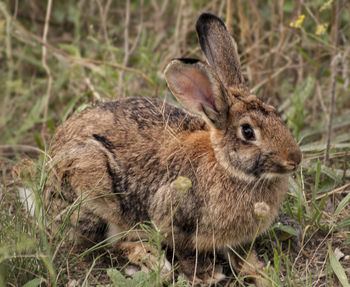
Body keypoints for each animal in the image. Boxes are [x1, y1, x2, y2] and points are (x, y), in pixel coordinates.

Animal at [44, 12, 300, 286]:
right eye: (248, 132)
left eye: (276, 114)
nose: (295, 159)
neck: (227, 167)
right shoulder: (170, 217)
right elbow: (185, 249)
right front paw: (206, 275)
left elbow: (242, 256)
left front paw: (261, 272)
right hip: (96, 191)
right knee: (107, 245)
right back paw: (153, 261)